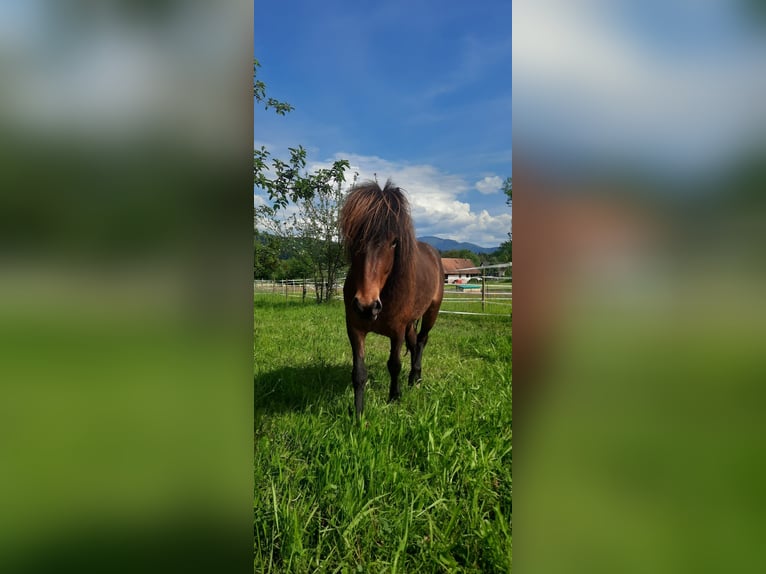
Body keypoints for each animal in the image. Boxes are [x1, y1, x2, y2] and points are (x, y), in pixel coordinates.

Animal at [340, 180, 448, 418]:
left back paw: (416, 378)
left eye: (394, 242)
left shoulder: (396, 331)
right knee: (415, 342)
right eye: (357, 237)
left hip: (431, 312)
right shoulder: (355, 329)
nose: (367, 306)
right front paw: (358, 414)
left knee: (422, 341)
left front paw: (393, 398)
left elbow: (394, 364)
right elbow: (359, 372)